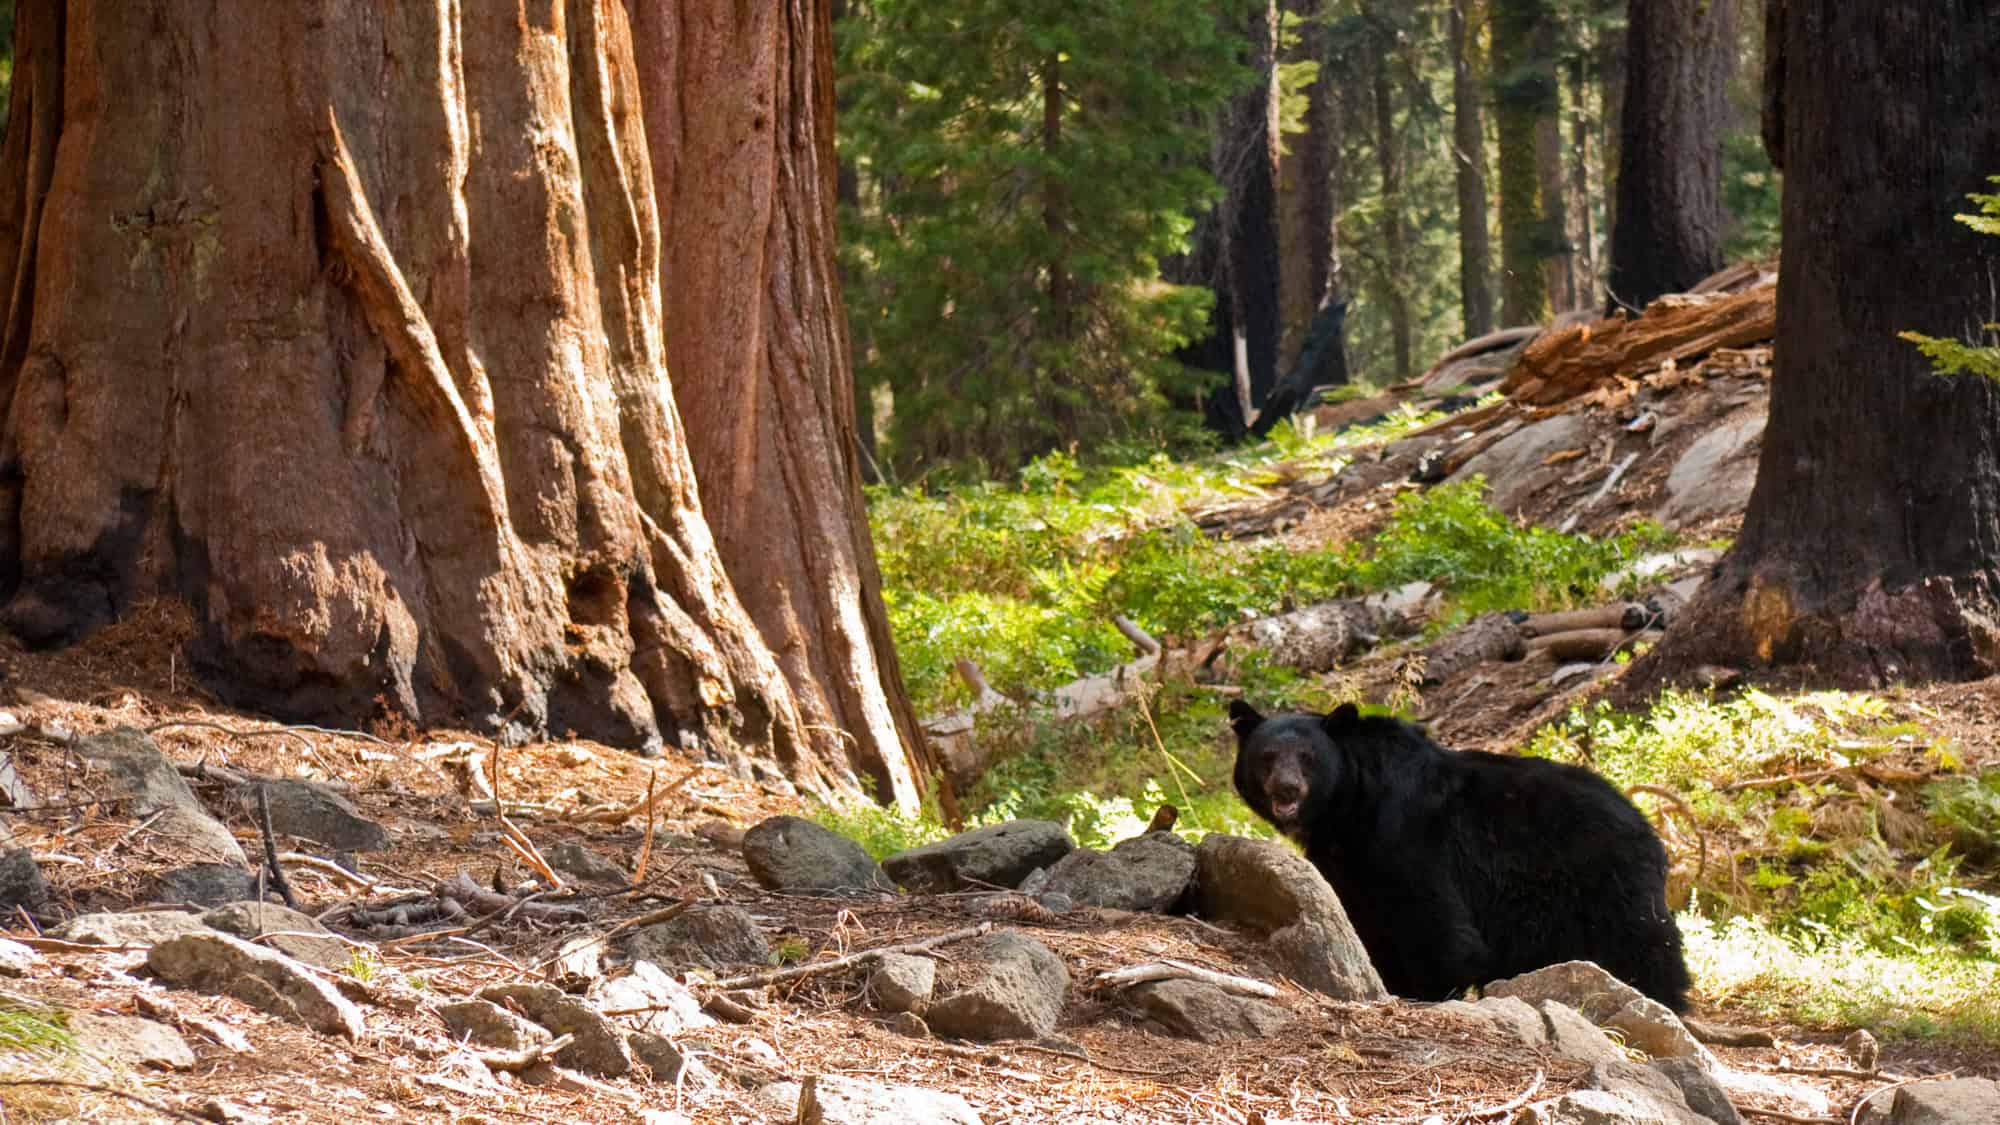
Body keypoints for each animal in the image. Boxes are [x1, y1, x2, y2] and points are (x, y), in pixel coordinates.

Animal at [1229, 700, 1691, 1011]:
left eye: (1309, 758)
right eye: (1267, 756)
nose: (1286, 789)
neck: (1349, 806)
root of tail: (1648, 828)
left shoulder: (1407, 835)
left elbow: (1434, 922)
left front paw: (1425, 991)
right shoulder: (1350, 860)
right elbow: (1362, 918)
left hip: (1602, 885)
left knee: (1644, 948)